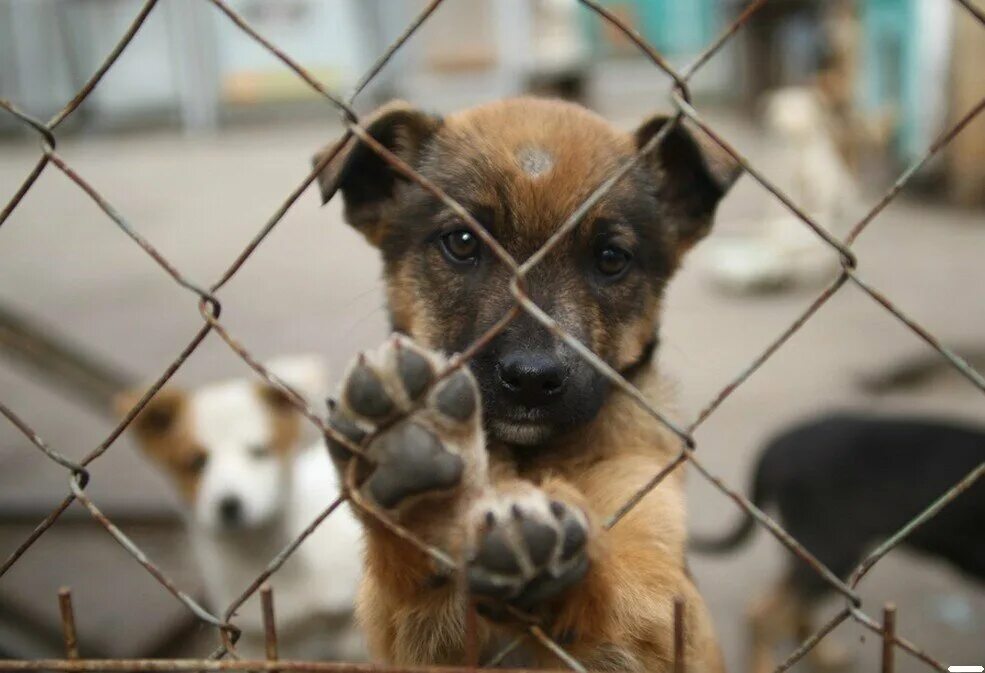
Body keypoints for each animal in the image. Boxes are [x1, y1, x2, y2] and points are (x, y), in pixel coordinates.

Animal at [316, 100, 736, 672]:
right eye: (462, 242)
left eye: (610, 258)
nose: (532, 379)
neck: (531, 460)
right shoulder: (417, 644)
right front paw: (428, 504)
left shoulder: (672, 607)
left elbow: (627, 582)